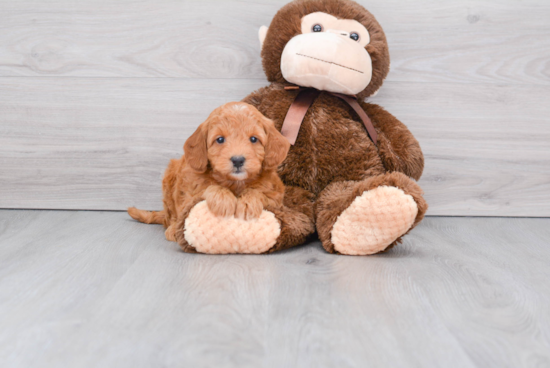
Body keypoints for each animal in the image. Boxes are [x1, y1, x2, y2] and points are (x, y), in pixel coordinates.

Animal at [128, 102, 292, 243]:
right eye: (220, 139)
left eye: (253, 139)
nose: (238, 160)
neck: (234, 183)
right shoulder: (190, 193)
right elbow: (208, 187)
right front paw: (224, 199)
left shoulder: (276, 197)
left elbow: (260, 192)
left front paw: (248, 202)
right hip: (170, 178)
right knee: (172, 215)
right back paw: (173, 229)